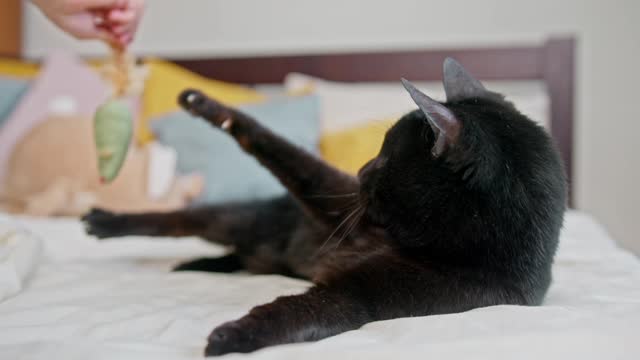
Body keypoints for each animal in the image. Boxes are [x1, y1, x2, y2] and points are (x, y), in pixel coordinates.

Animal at [84, 59, 564, 358]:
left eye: (386, 158)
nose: (361, 169)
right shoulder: (336, 202)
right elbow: (276, 147)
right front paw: (207, 106)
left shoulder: (359, 296)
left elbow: (294, 311)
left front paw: (233, 335)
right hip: (244, 218)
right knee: (179, 219)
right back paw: (104, 222)